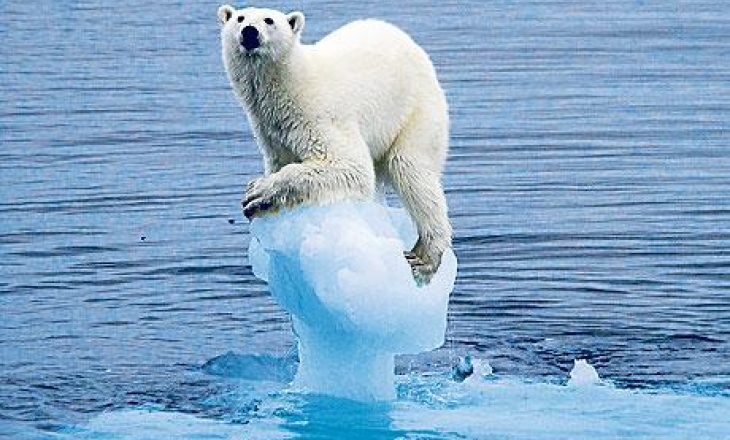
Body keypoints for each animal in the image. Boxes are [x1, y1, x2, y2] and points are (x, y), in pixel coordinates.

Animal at [218, 5, 452, 283]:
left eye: (269, 20)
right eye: (240, 18)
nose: (249, 32)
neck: (290, 84)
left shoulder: (318, 114)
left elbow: (349, 165)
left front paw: (257, 192)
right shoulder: (271, 131)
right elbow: (281, 161)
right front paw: (260, 204)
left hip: (416, 111)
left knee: (412, 170)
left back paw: (425, 257)